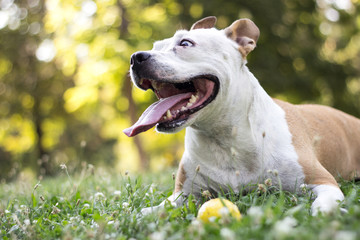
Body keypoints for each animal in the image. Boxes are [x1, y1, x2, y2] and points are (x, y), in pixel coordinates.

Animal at [124, 16, 360, 216]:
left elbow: (322, 207)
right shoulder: (183, 194)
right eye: (155, 47)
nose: (135, 57)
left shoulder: (323, 181)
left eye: (185, 43)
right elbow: (151, 211)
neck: (225, 138)